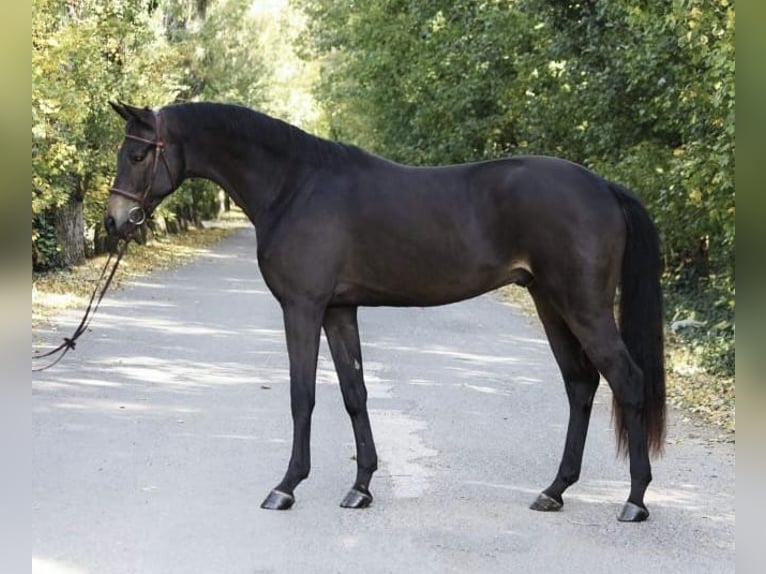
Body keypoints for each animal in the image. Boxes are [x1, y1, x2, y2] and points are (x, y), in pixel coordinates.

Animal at [105, 101, 664, 524]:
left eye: (137, 153)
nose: (115, 221)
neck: (294, 185)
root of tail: (604, 187)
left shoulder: (303, 308)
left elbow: (303, 397)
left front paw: (286, 487)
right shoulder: (339, 310)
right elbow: (355, 394)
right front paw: (361, 487)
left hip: (583, 306)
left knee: (627, 381)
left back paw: (635, 500)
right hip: (550, 303)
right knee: (581, 384)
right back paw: (555, 490)